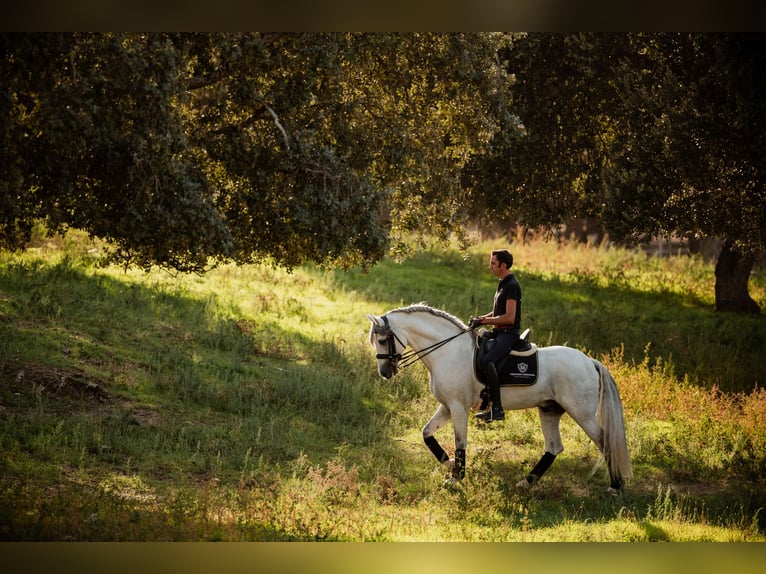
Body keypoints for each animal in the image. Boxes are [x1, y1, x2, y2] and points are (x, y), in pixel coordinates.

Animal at [368, 304, 632, 492]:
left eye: (381, 340)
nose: (385, 373)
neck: (447, 351)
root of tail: (590, 362)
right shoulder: (446, 406)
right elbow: (427, 433)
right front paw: (450, 464)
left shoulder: (457, 407)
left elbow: (460, 442)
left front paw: (456, 478)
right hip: (549, 409)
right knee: (554, 447)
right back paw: (526, 483)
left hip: (581, 412)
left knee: (605, 441)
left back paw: (616, 485)